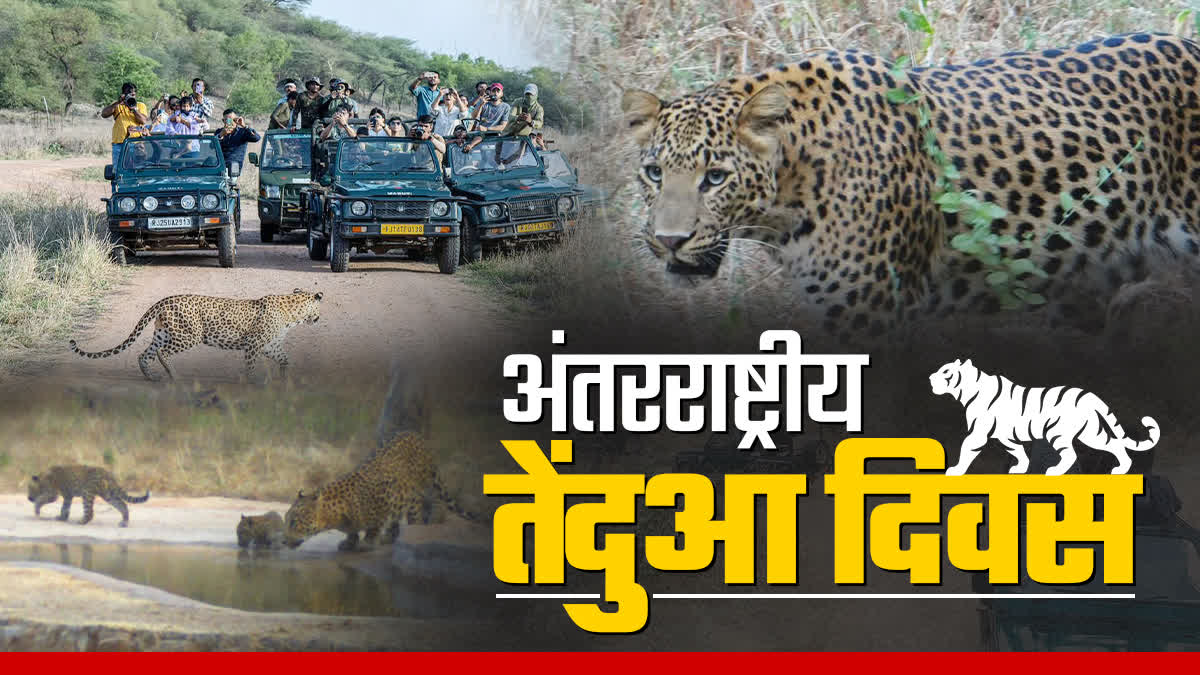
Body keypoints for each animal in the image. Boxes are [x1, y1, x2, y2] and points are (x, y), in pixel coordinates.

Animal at [69, 289, 323, 382]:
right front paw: (251, 381)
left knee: (144, 354)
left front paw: (284, 377)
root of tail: (165, 300)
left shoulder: (271, 345)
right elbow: (250, 364)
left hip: (162, 333)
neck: (293, 314)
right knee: (162, 353)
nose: (319, 318)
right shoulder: (254, 343)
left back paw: (152, 377)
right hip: (188, 336)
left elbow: (285, 358)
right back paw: (174, 375)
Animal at [282, 430, 484, 552]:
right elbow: (353, 531)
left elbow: (375, 525)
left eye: (294, 522)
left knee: (416, 513)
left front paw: (367, 542)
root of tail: (415, 436)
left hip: (415, 494)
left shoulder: (386, 498)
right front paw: (350, 541)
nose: (283, 541)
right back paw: (390, 537)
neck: (334, 516)